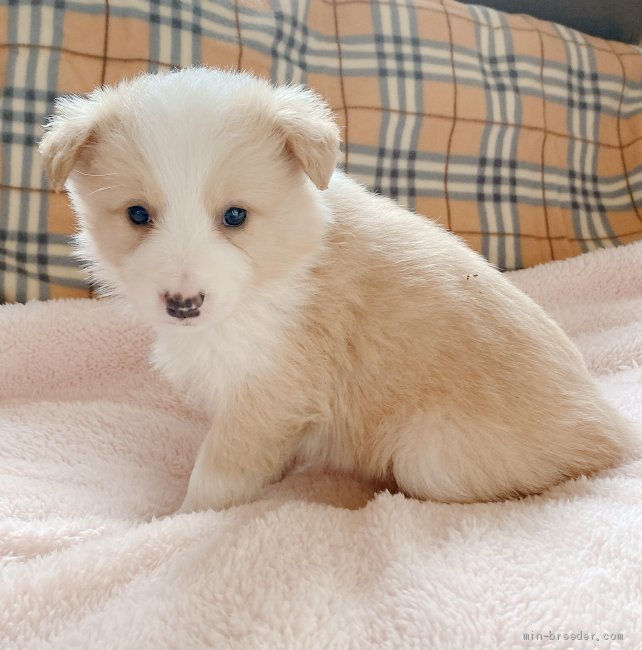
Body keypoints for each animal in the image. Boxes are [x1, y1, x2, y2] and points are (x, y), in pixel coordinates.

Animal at [38, 67, 632, 512]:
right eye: (138, 215)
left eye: (235, 216)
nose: (183, 305)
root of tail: (615, 430)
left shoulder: (269, 394)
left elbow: (215, 475)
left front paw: (178, 519)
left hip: (431, 455)